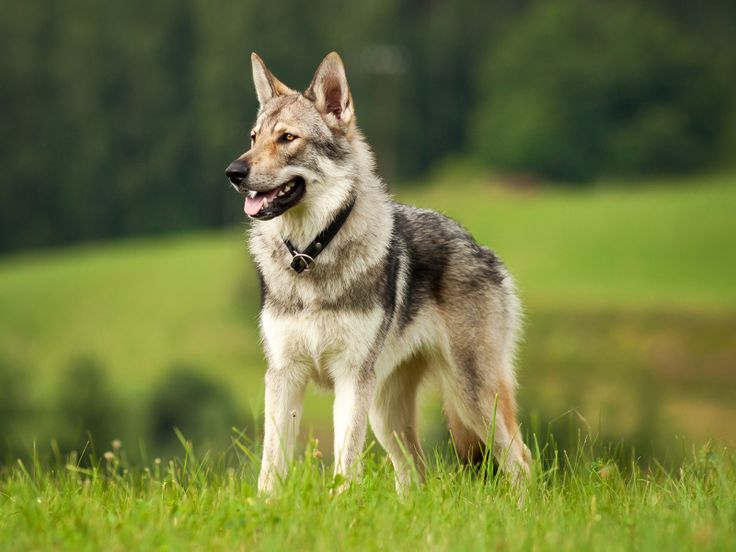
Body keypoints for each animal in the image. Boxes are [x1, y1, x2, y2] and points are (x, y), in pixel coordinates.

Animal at [224, 51, 528, 492]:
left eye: (287, 138)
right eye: (253, 138)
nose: (233, 172)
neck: (311, 256)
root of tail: (480, 246)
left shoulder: (351, 379)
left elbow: (345, 463)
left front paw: (339, 503)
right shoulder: (284, 375)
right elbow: (272, 465)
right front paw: (265, 506)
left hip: (470, 397)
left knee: (521, 461)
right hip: (388, 416)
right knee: (415, 474)